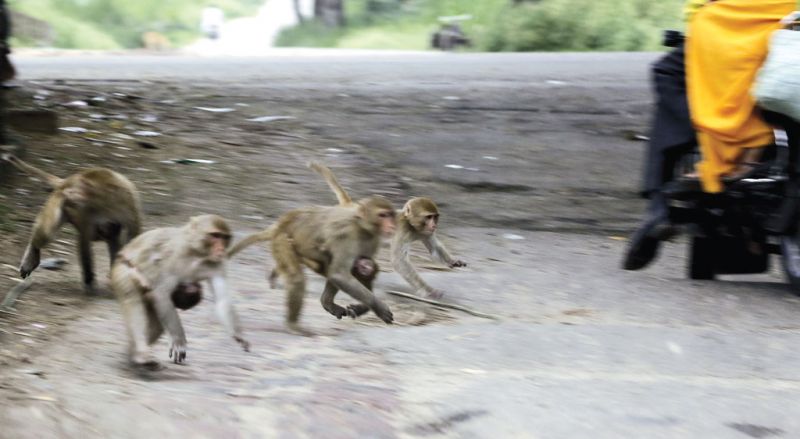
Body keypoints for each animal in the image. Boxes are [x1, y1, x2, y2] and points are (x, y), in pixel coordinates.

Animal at [2, 153, 142, 295]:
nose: (71, 198)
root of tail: (69, 180)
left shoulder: (125, 213)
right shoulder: (87, 211)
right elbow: (85, 242)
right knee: (47, 235)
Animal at [111, 214, 249, 369]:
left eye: (225, 237)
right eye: (215, 235)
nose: (221, 248)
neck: (197, 254)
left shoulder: (218, 263)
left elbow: (222, 301)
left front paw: (239, 333)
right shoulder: (174, 255)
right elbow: (161, 292)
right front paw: (179, 341)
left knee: (156, 323)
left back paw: (133, 355)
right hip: (121, 271)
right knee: (133, 300)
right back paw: (141, 353)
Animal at [228, 196, 397, 333]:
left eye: (390, 215)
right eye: (382, 215)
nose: (390, 226)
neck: (362, 227)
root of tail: (282, 223)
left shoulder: (373, 240)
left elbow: (357, 270)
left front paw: (359, 307)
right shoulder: (346, 235)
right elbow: (339, 274)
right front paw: (378, 306)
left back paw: (325, 300)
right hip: (282, 239)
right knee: (297, 277)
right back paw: (293, 325)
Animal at [308, 161, 466, 299]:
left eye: (435, 217)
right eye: (428, 217)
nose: (434, 225)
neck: (411, 225)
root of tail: (351, 206)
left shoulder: (425, 232)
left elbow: (434, 248)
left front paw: (452, 261)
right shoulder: (402, 231)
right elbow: (400, 262)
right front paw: (428, 290)